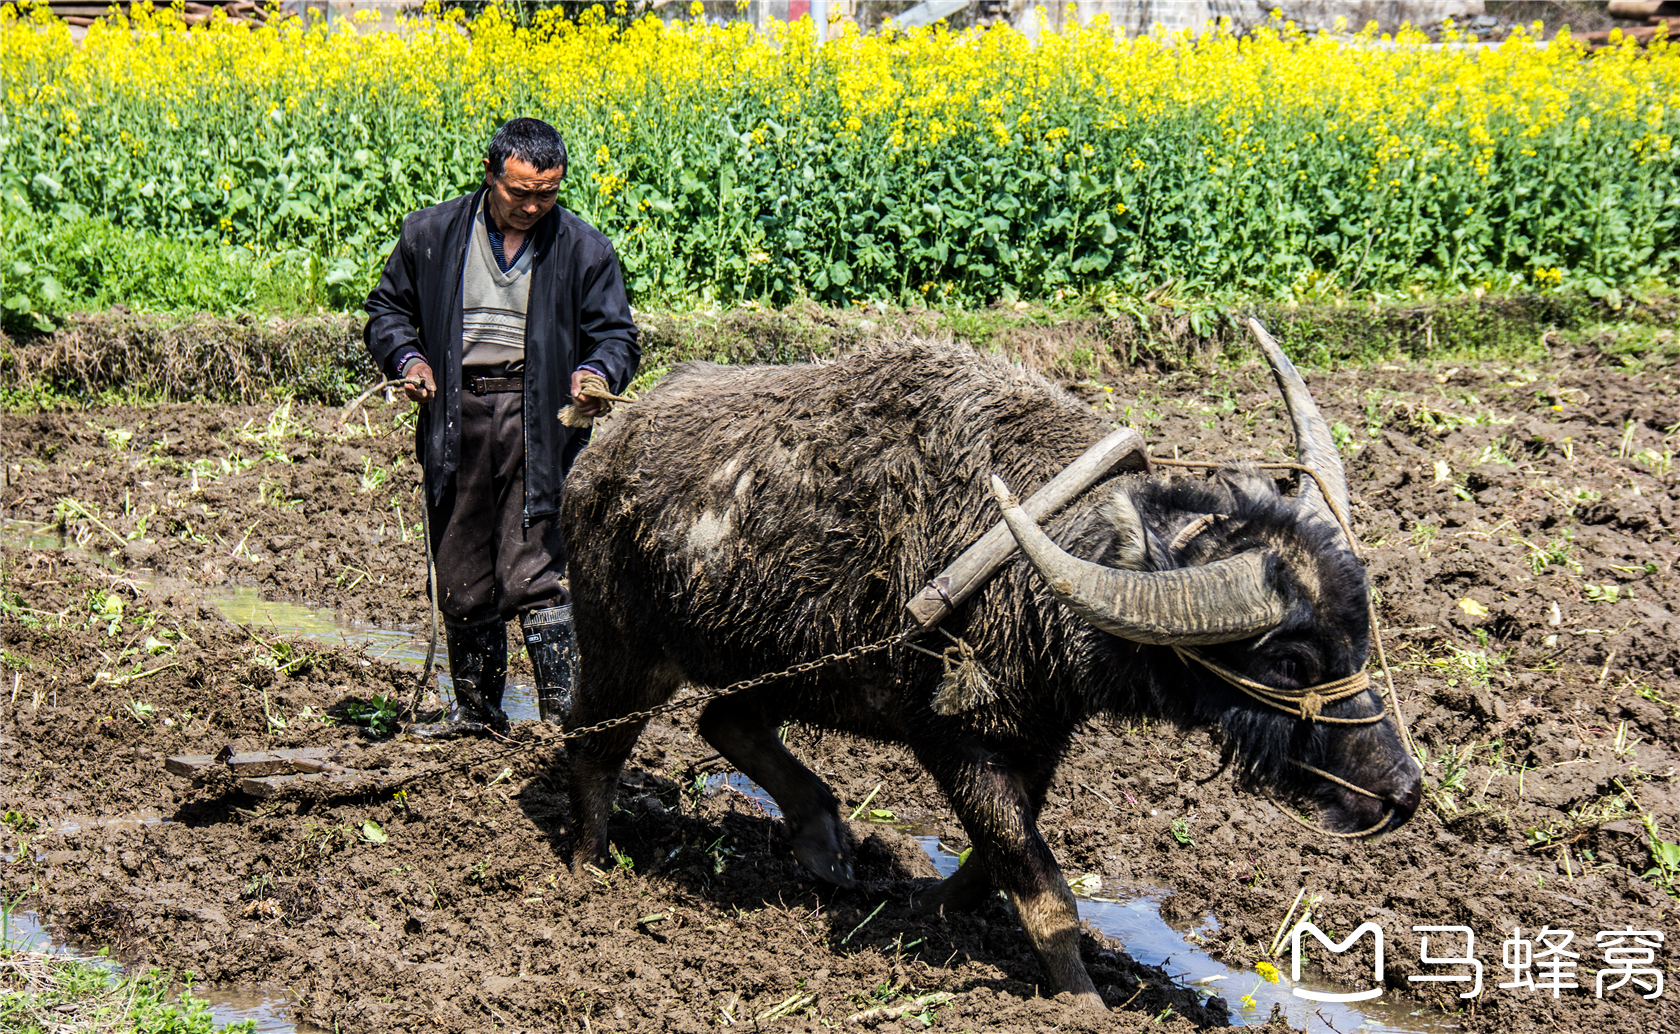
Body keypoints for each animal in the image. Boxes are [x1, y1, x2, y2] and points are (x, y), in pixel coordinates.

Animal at [561, 336, 1417, 1008]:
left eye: (1360, 629)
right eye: (1290, 660)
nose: (1403, 792)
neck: (1036, 576)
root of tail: (602, 446)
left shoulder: (1039, 736)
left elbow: (1003, 851)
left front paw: (933, 905)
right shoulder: (953, 737)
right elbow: (1041, 883)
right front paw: (1082, 1001)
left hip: (783, 664)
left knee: (724, 718)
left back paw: (826, 845)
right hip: (619, 649)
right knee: (592, 743)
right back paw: (590, 868)